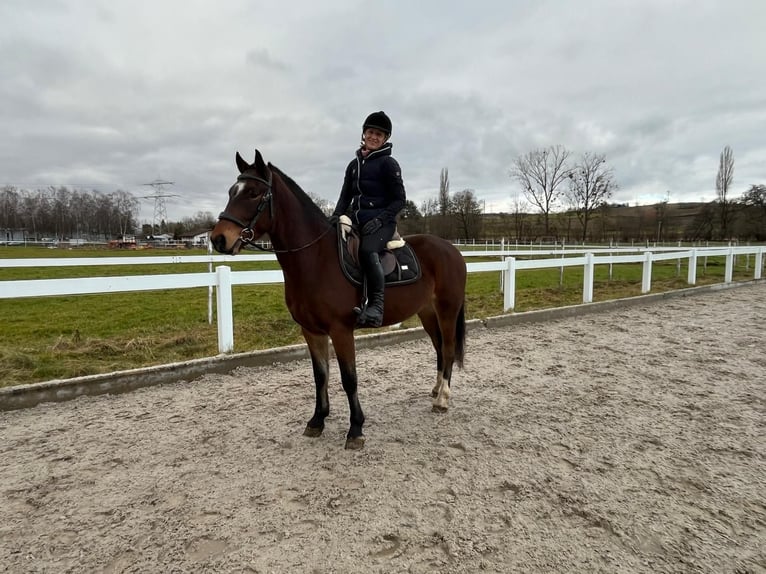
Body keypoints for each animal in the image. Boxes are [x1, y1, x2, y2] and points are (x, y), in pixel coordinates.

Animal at [210, 150, 468, 450]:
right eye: (232, 191)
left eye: (253, 193)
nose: (218, 239)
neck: (317, 259)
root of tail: (452, 249)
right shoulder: (311, 331)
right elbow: (320, 375)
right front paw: (317, 421)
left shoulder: (341, 330)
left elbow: (349, 378)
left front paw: (355, 429)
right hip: (427, 312)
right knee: (438, 347)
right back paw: (436, 389)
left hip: (447, 310)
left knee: (448, 349)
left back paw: (443, 399)